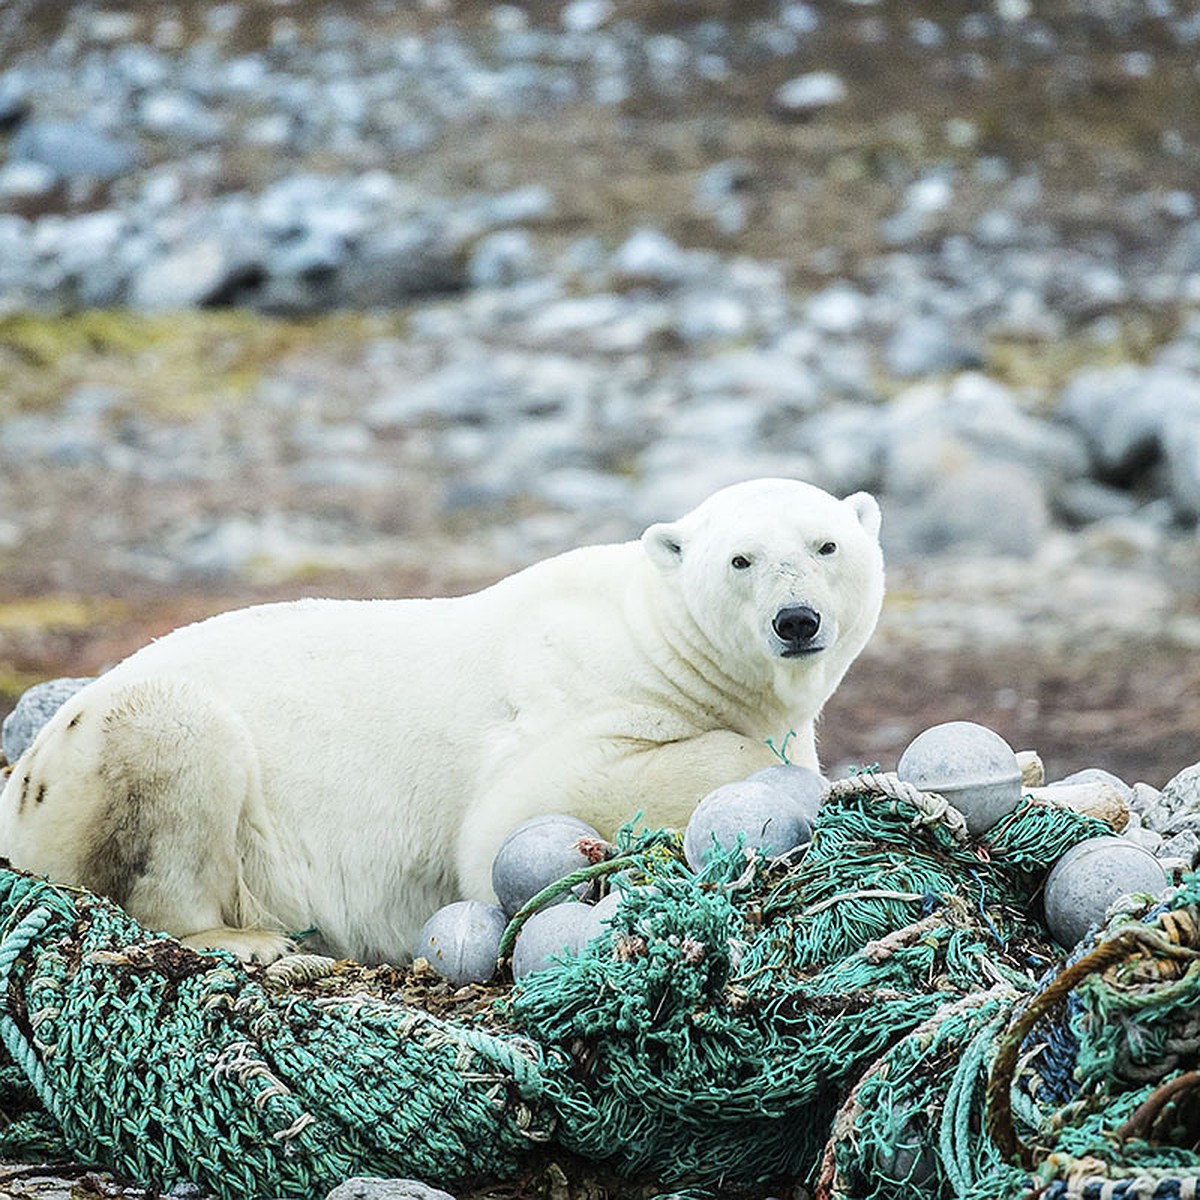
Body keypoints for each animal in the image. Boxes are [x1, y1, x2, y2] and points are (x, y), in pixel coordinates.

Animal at [0, 477, 883, 964]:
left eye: (827, 545)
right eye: (740, 559)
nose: (797, 621)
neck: (659, 635)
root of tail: (19, 790)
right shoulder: (576, 696)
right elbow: (513, 817)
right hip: (89, 765)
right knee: (172, 743)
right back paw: (243, 939)